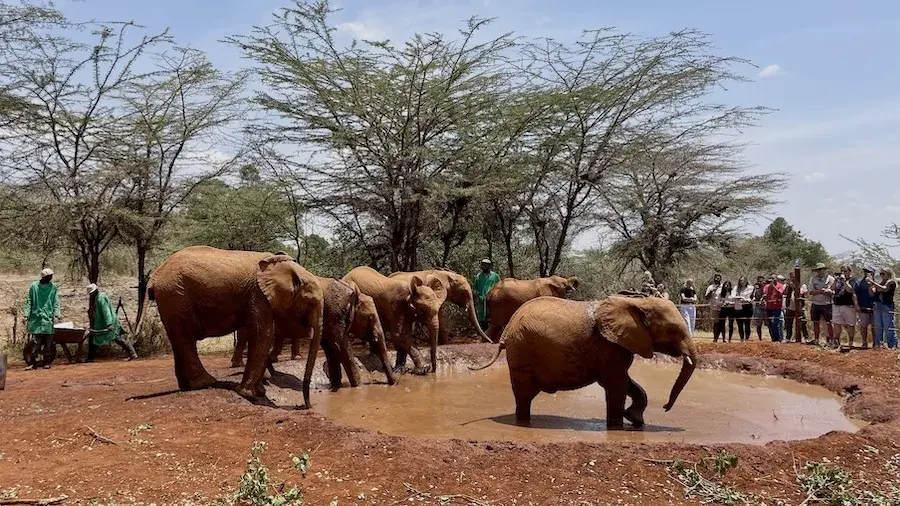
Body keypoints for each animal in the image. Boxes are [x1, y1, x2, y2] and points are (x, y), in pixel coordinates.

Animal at [147, 246, 324, 406]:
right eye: (311, 303)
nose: (307, 405)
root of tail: (154, 277)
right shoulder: (258, 295)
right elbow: (263, 335)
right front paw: (248, 394)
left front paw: (260, 392)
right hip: (176, 295)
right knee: (185, 339)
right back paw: (207, 383)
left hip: (172, 299)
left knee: (178, 339)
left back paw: (187, 387)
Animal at [231, 277, 398, 390]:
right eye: (371, 318)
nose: (395, 382)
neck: (353, 294)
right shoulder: (334, 313)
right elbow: (340, 346)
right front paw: (358, 387)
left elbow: (331, 349)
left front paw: (336, 386)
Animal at [470, 295, 697, 429]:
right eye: (672, 330)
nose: (666, 407)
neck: (638, 303)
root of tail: (508, 329)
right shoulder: (609, 347)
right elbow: (617, 383)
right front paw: (617, 427)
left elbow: (626, 382)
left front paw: (635, 421)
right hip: (522, 351)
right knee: (524, 395)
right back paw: (525, 423)